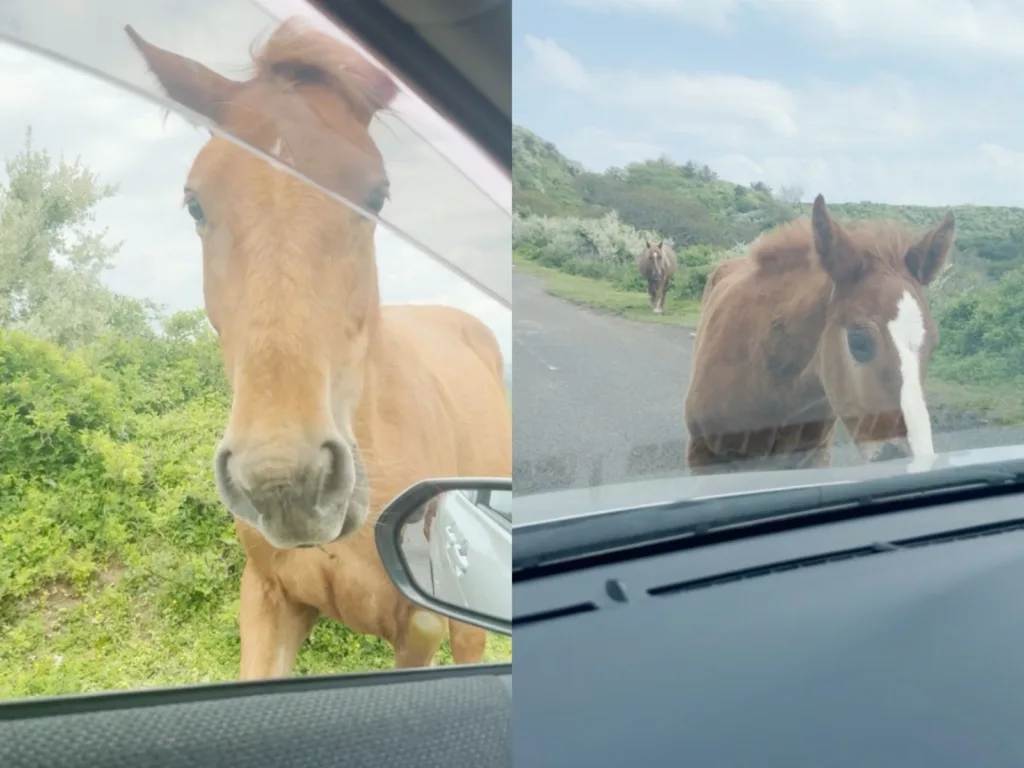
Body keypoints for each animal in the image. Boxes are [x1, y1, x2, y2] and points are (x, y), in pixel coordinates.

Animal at [125, 18, 511, 678]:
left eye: (376, 197)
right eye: (195, 202)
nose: (285, 481)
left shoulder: (419, 629)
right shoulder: (267, 600)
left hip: (465, 626)